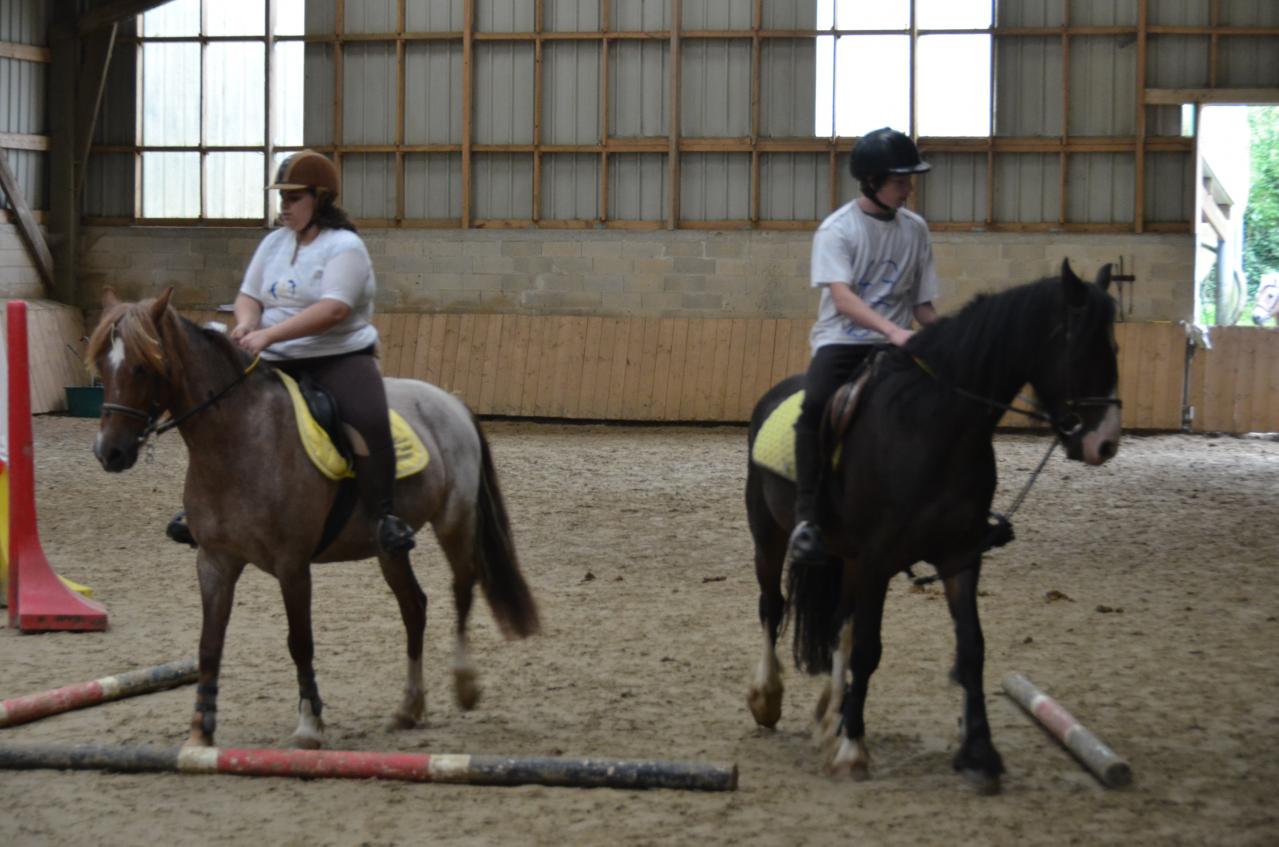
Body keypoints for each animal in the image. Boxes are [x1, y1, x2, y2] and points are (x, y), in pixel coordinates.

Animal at [88, 290, 539, 752]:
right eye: (102, 364)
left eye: (143, 366)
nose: (109, 453)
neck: (238, 441)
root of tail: (451, 401)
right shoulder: (214, 561)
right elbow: (209, 645)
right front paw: (200, 732)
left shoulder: (292, 564)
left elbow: (300, 641)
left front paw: (309, 724)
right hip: (389, 548)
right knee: (414, 607)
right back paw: (409, 708)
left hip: (455, 520)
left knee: (463, 588)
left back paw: (464, 684)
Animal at [746, 261, 1125, 798]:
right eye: (1083, 347)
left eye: (1114, 348)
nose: (1105, 443)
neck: (935, 425)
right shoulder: (880, 559)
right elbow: (869, 649)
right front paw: (852, 750)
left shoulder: (959, 556)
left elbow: (971, 650)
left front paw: (980, 755)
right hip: (770, 537)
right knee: (772, 606)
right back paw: (768, 698)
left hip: (847, 559)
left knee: (839, 623)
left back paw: (831, 713)